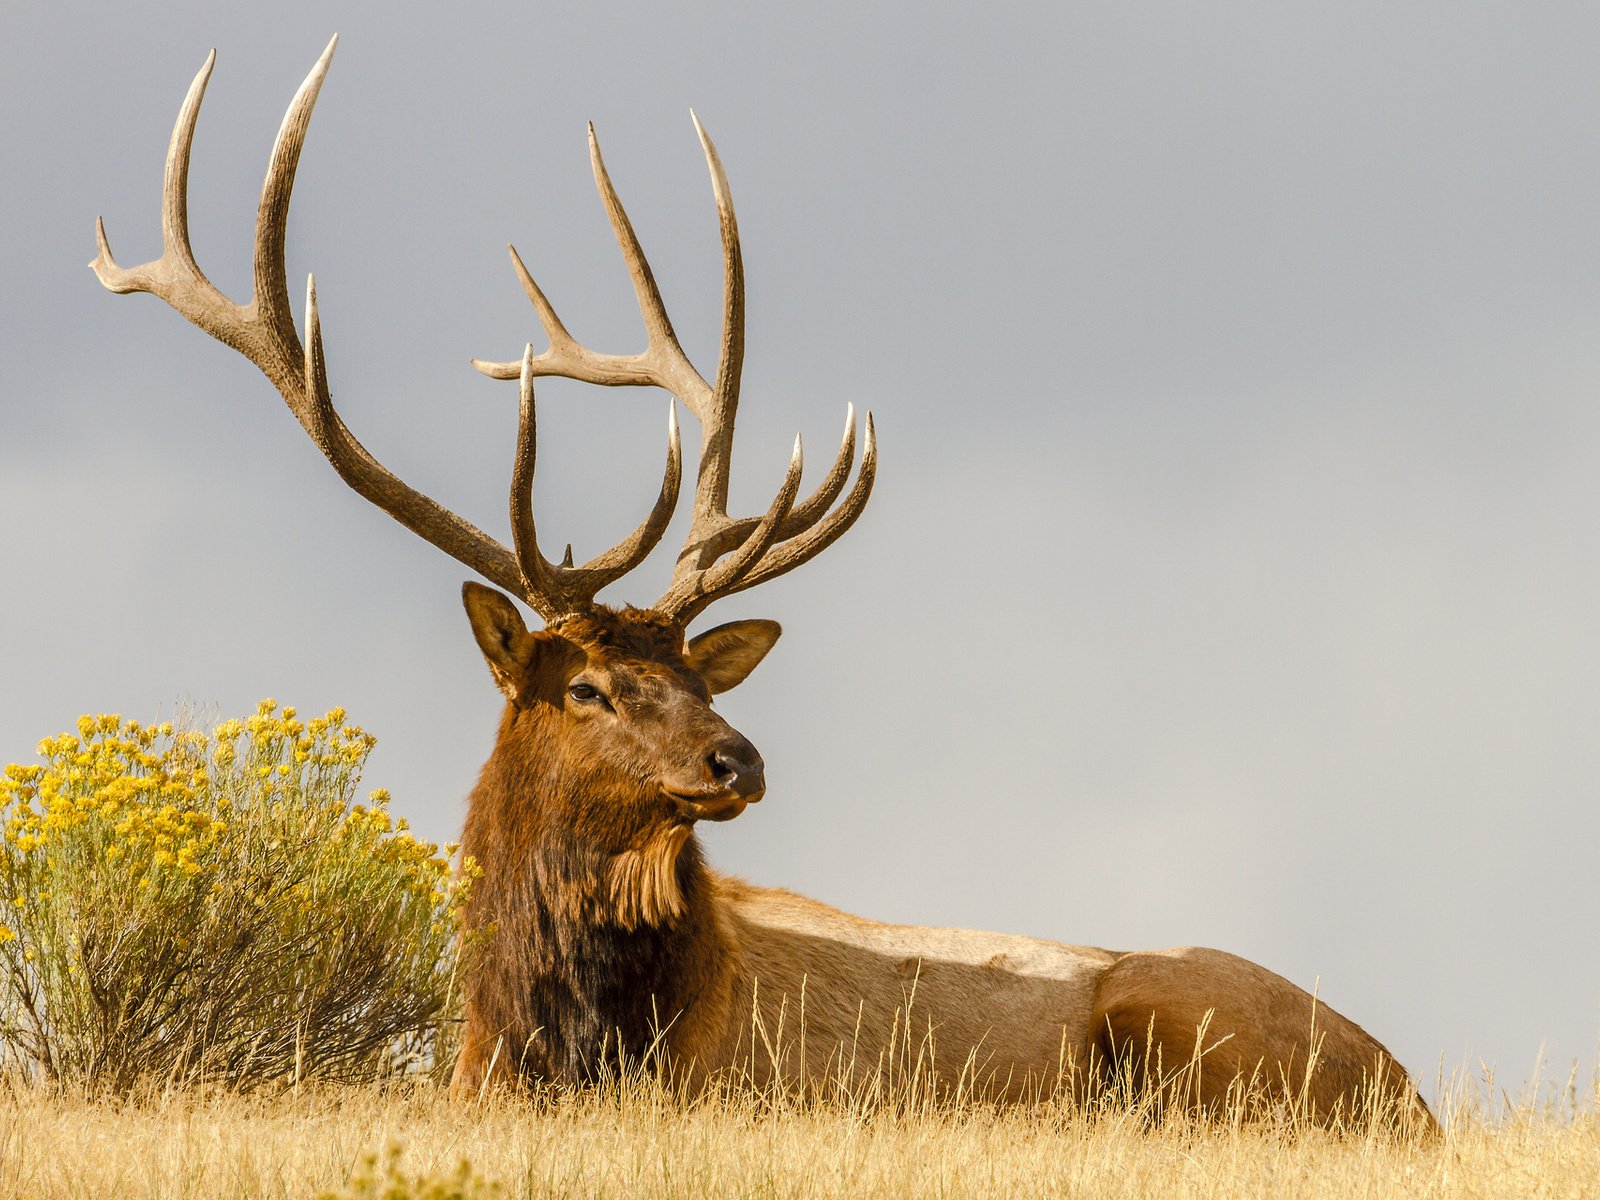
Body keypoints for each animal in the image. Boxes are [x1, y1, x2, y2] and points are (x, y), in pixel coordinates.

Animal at [90, 35, 1440, 1126]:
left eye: (697, 674)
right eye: (585, 687)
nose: (734, 760)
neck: (555, 1043)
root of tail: (1411, 1094)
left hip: (1178, 1013)